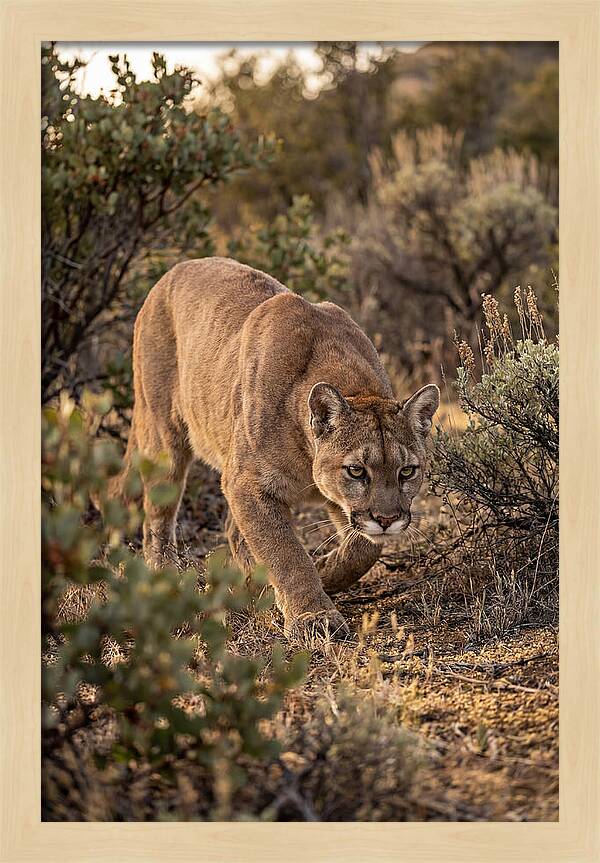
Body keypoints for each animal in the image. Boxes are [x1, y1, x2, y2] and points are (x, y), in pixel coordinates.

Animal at [113, 257, 439, 638]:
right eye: (357, 471)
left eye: (407, 471)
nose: (387, 520)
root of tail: (174, 269)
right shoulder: (248, 484)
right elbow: (285, 553)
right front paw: (313, 616)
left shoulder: (332, 500)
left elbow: (364, 548)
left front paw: (325, 570)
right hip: (165, 437)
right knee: (158, 517)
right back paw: (165, 574)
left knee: (232, 531)